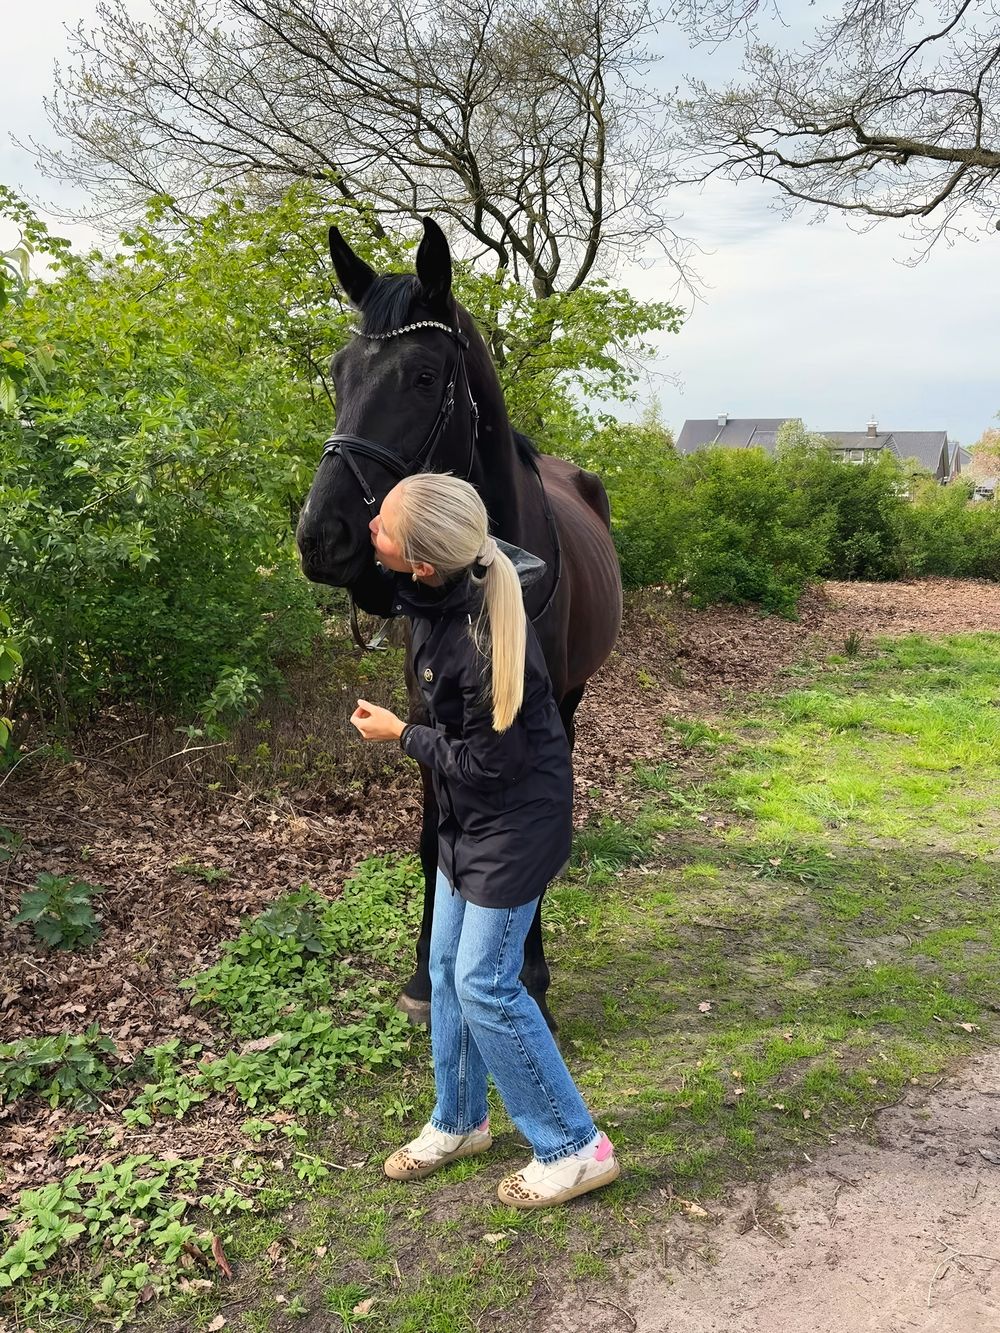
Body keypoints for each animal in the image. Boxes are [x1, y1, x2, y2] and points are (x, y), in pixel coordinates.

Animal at [296, 217, 622, 1031]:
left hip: (573, 699)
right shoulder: (426, 717)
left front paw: (531, 970)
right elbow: (430, 838)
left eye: (420, 377)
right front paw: (422, 972)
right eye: (339, 372)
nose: (322, 537)